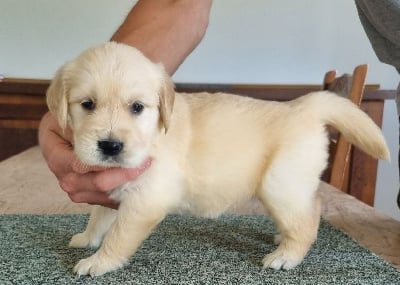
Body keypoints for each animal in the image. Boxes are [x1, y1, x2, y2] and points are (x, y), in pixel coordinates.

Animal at [45, 42, 390, 276]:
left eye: (137, 107)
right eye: (87, 104)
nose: (110, 146)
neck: (154, 137)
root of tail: (304, 107)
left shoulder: (146, 200)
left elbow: (118, 235)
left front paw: (99, 262)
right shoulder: (116, 189)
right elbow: (99, 215)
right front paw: (88, 238)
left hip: (280, 184)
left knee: (306, 221)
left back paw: (286, 256)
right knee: (312, 206)